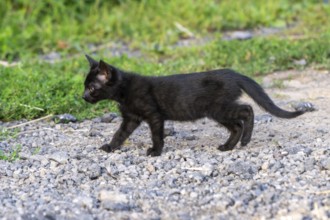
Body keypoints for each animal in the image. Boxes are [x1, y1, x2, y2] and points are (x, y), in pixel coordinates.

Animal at [83, 55, 304, 156]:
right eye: (85, 86)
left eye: (92, 88)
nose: (83, 96)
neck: (124, 91)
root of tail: (233, 73)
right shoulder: (131, 119)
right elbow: (119, 134)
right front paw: (110, 147)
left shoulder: (154, 115)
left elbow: (156, 135)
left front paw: (155, 151)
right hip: (218, 111)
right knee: (237, 125)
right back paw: (227, 146)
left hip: (219, 108)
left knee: (247, 111)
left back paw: (245, 140)